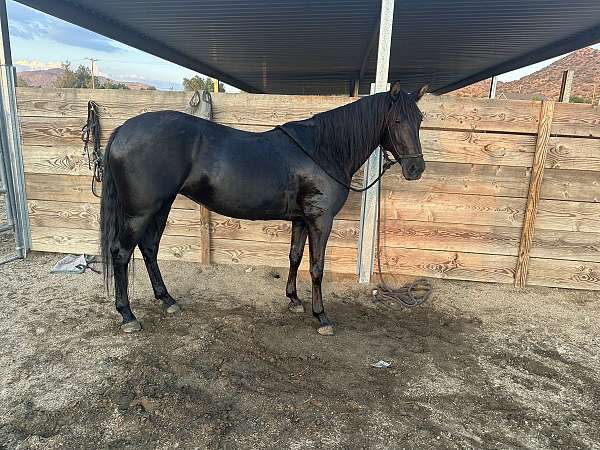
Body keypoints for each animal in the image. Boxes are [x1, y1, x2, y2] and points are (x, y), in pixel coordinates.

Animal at [99, 80, 426, 334]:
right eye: (397, 120)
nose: (416, 169)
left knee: (149, 248)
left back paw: (167, 300)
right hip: (139, 212)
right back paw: (128, 315)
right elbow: (317, 267)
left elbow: (294, 257)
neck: (323, 149)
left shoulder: (301, 219)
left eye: (420, 119)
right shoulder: (320, 220)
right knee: (121, 252)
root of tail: (123, 130)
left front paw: (294, 300)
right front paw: (321, 316)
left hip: (160, 206)